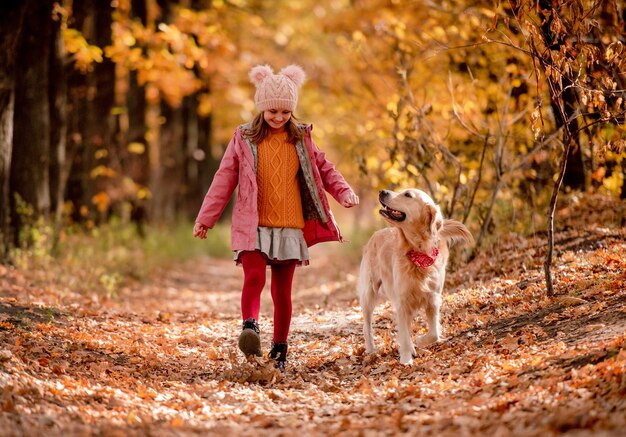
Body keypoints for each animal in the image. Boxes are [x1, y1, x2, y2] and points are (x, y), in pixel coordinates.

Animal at [358, 189, 470, 362]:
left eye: (407, 195)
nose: (382, 191)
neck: (418, 251)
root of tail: (376, 234)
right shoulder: (402, 302)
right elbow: (404, 335)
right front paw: (406, 360)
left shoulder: (433, 298)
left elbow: (434, 333)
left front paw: (420, 341)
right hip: (369, 293)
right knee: (367, 325)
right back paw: (371, 349)